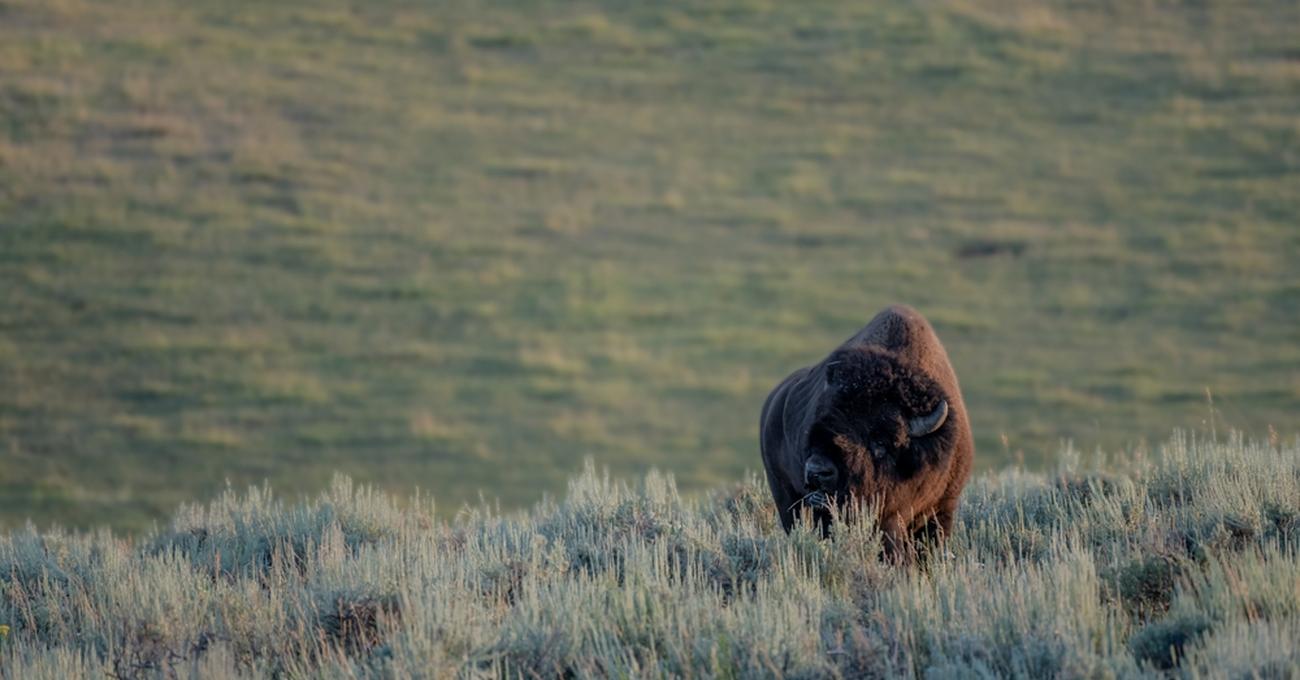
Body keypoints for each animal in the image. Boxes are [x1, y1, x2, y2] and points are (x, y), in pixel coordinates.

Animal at [759, 305, 973, 559]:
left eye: (881, 443)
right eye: (819, 426)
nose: (817, 472)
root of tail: (773, 401)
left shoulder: (943, 507)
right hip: (786, 498)